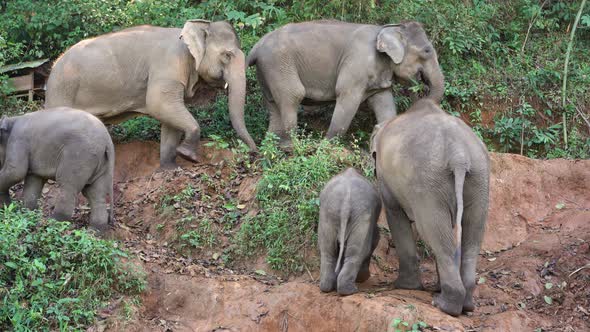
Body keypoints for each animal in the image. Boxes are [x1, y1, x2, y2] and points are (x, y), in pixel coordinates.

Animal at [45, 19, 258, 169]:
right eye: (227, 55)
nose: (255, 154)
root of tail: (54, 65)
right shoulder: (168, 64)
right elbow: (158, 103)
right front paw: (188, 156)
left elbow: (170, 120)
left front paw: (169, 169)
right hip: (62, 89)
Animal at [372, 99, 492, 316]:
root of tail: (459, 155)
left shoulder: (386, 179)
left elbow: (396, 215)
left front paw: (405, 286)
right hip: (479, 177)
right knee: (472, 232)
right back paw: (466, 304)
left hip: (428, 184)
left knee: (433, 230)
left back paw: (444, 305)